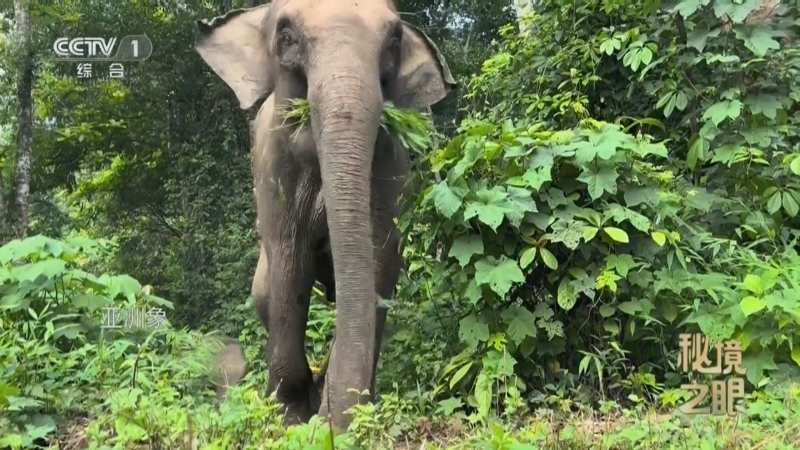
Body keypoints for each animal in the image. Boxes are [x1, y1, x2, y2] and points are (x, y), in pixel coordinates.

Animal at [194, 0, 455, 430]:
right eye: (286, 37)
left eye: (394, 41)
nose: (330, 420)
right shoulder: (272, 170)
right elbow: (290, 263)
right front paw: (289, 415)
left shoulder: (389, 168)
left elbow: (380, 263)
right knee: (265, 291)